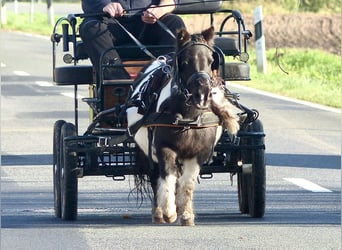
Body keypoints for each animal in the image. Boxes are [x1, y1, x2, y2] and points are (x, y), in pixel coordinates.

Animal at [127, 27, 239, 227]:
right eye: (185, 61)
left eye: (210, 61)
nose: (203, 94)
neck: (189, 118)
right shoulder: (164, 149)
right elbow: (167, 178)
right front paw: (169, 211)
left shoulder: (199, 153)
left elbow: (187, 183)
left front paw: (186, 214)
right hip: (148, 152)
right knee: (156, 177)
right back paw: (159, 212)